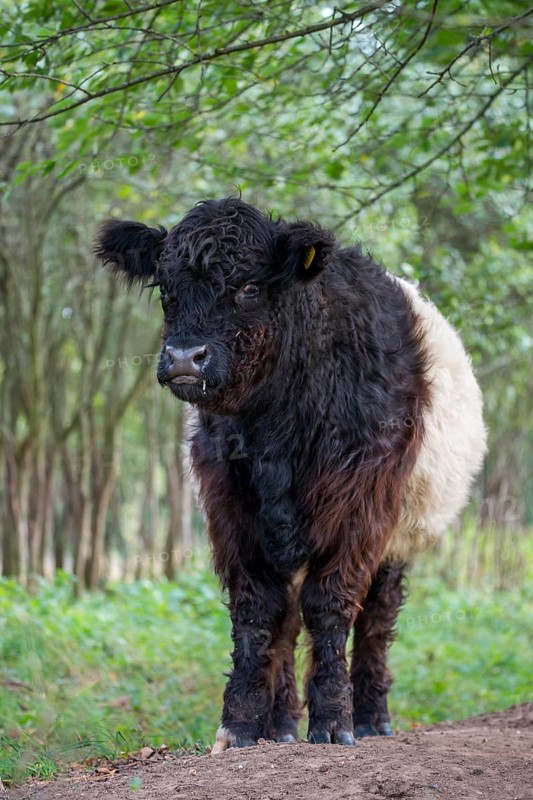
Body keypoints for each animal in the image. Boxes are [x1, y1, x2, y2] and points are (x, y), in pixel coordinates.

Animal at [95, 197, 487, 751]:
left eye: (249, 287)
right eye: (167, 291)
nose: (185, 358)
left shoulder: (360, 506)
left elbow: (331, 606)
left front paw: (333, 721)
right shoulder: (230, 506)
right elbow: (257, 611)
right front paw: (239, 724)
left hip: (399, 535)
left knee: (375, 619)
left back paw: (371, 717)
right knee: (287, 618)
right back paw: (279, 725)